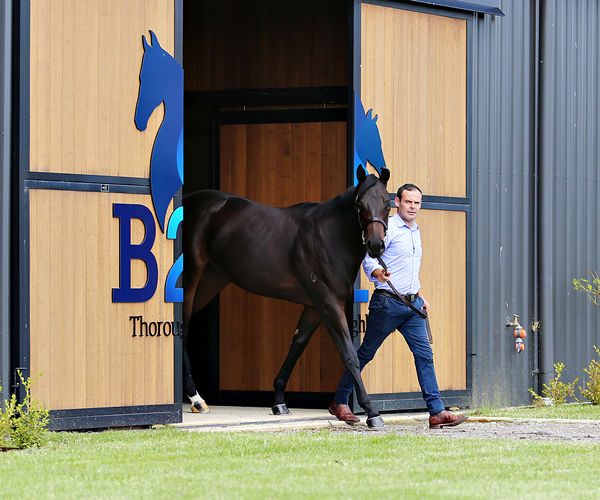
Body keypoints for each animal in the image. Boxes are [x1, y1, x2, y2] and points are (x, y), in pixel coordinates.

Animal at [183, 166, 390, 428]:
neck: (327, 237)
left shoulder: (314, 307)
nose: (376, 245)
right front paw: (372, 412)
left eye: (387, 202)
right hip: (191, 278)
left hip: (211, 280)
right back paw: (196, 398)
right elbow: (349, 354)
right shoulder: (329, 303)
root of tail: (189, 200)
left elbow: (297, 345)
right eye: (360, 204)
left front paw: (279, 401)